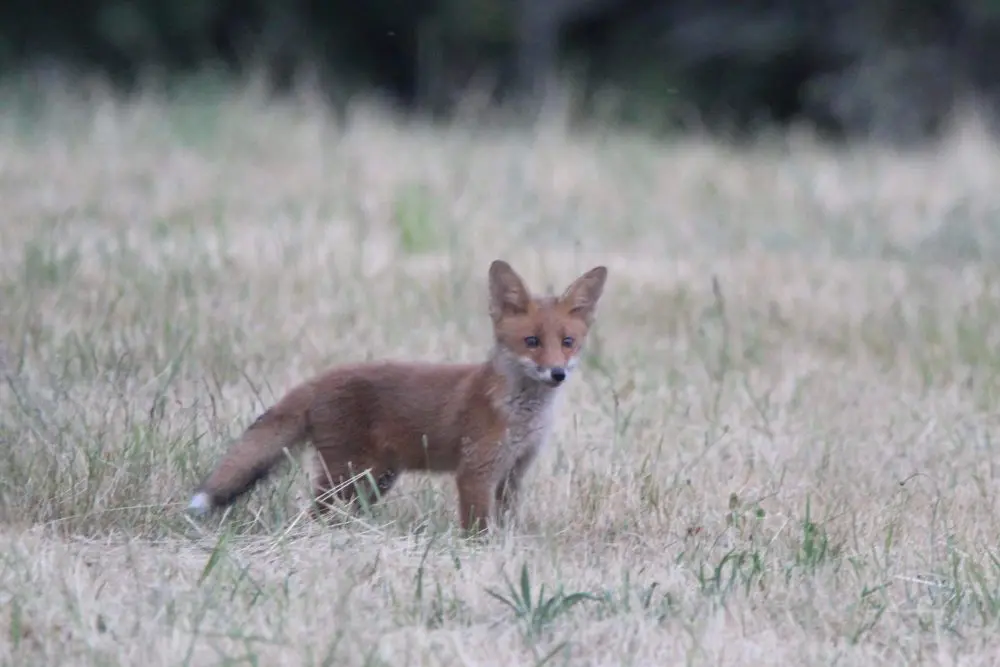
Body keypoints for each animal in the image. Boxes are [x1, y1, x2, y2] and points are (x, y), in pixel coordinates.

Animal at [187, 258, 608, 536]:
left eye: (568, 342)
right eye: (532, 342)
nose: (557, 373)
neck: (522, 415)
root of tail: (321, 378)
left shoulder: (513, 474)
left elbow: (506, 525)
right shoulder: (475, 471)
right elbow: (476, 530)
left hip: (375, 479)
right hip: (348, 474)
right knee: (315, 512)